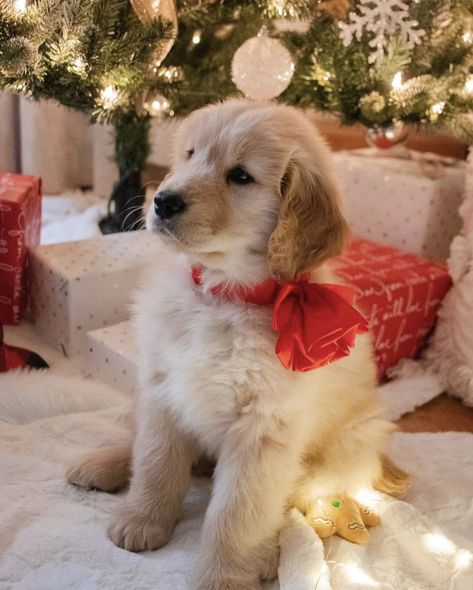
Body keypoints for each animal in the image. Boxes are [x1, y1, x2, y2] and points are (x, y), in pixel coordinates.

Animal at [67, 99, 410, 588]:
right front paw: (143, 519)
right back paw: (104, 464)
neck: (222, 294)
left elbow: (237, 512)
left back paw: (266, 556)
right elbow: (154, 462)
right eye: (189, 155)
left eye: (241, 176)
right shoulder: (163, 391)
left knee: (298, 494)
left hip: (347, 443)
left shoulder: (262, 432)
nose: (162, 200)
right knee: (142, 444)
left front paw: (224, 576)